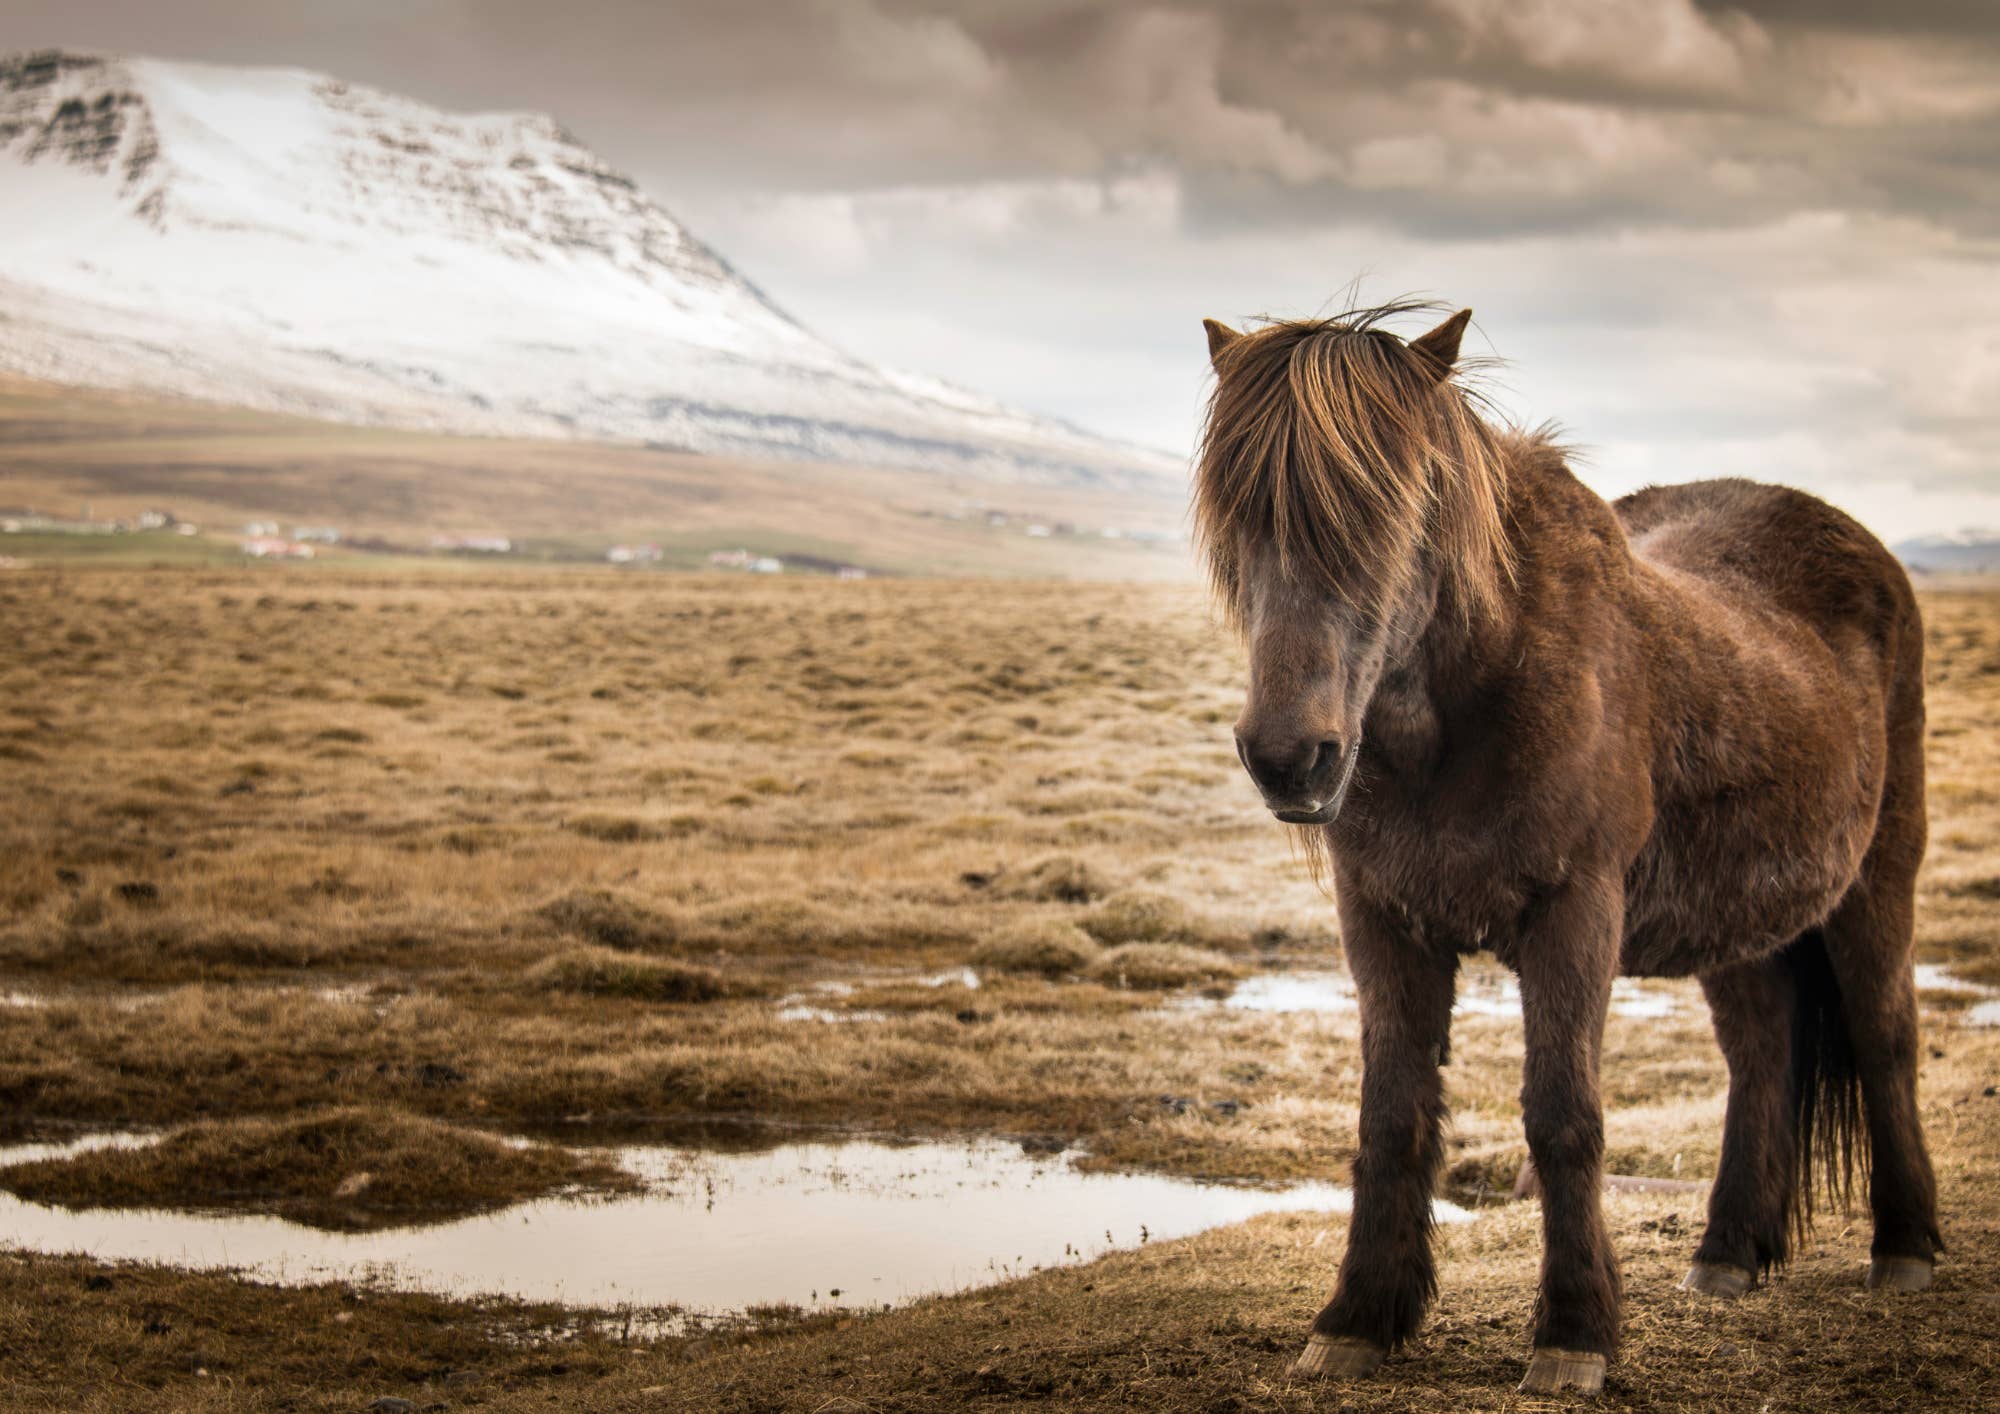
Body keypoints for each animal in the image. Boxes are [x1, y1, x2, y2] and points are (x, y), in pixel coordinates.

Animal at [1194, 302, 1940, 1395]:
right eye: (1236, 518)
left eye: (1397, 509)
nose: (1291, 758)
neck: (1466, 711)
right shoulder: (1380, 920)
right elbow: (1391, 1115)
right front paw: (1358, 1318)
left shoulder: (1574, 913)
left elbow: (1562, 1116)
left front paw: (1575, 1333)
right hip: (1744, 919)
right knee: (1761, 1050)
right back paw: (1726, 1254)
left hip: (1874, 881)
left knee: (1885, 1035)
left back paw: (1906, 1247)